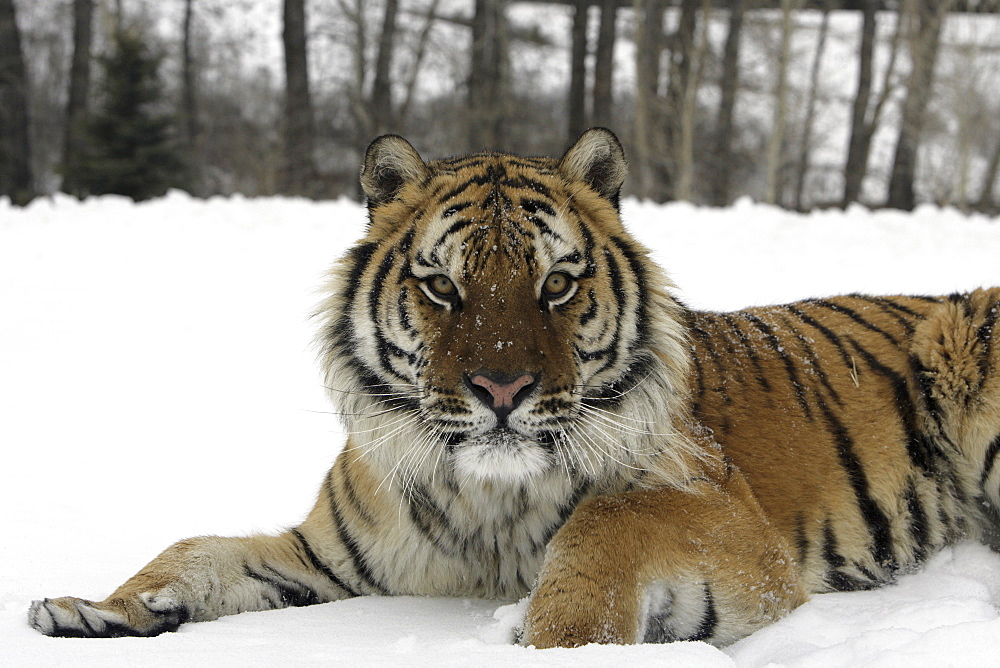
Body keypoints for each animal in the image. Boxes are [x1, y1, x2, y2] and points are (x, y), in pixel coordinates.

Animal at [27, 129, 1000, 648]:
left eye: (556, 285)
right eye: (443, 286)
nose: (502, 386)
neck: (484, 501)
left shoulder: (734, 523)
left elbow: (605, 523)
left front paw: (551, 640)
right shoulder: (330, 554)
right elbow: (196, 550)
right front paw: (94, 610)